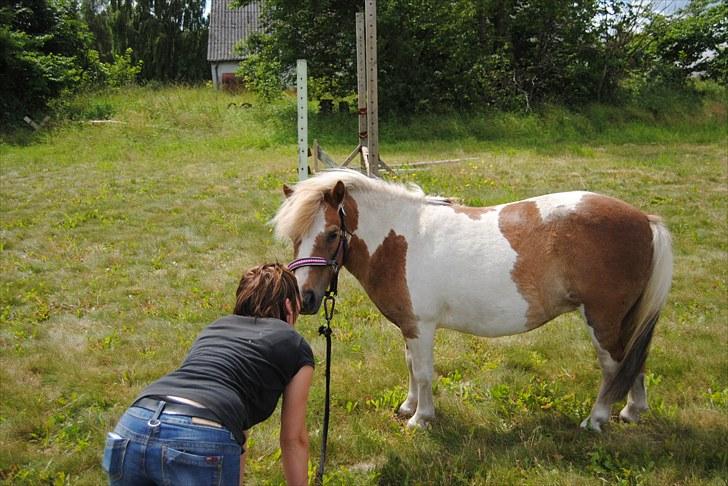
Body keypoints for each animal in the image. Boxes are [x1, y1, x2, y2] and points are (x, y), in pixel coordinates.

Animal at [272, 169, 672, 430]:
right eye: (294, 236)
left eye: (332, 233)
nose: (306, 297)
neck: (399, 241)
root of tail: (645, 219)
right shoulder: (409, 327)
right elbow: (410, 367)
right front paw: (408, 406)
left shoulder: (422, 327)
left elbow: (423, 372)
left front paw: (421, 418)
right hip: (622, 320)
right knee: (631, 360)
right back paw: (632, 411)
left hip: (602, 319)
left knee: (613, 364)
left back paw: (596, 419)